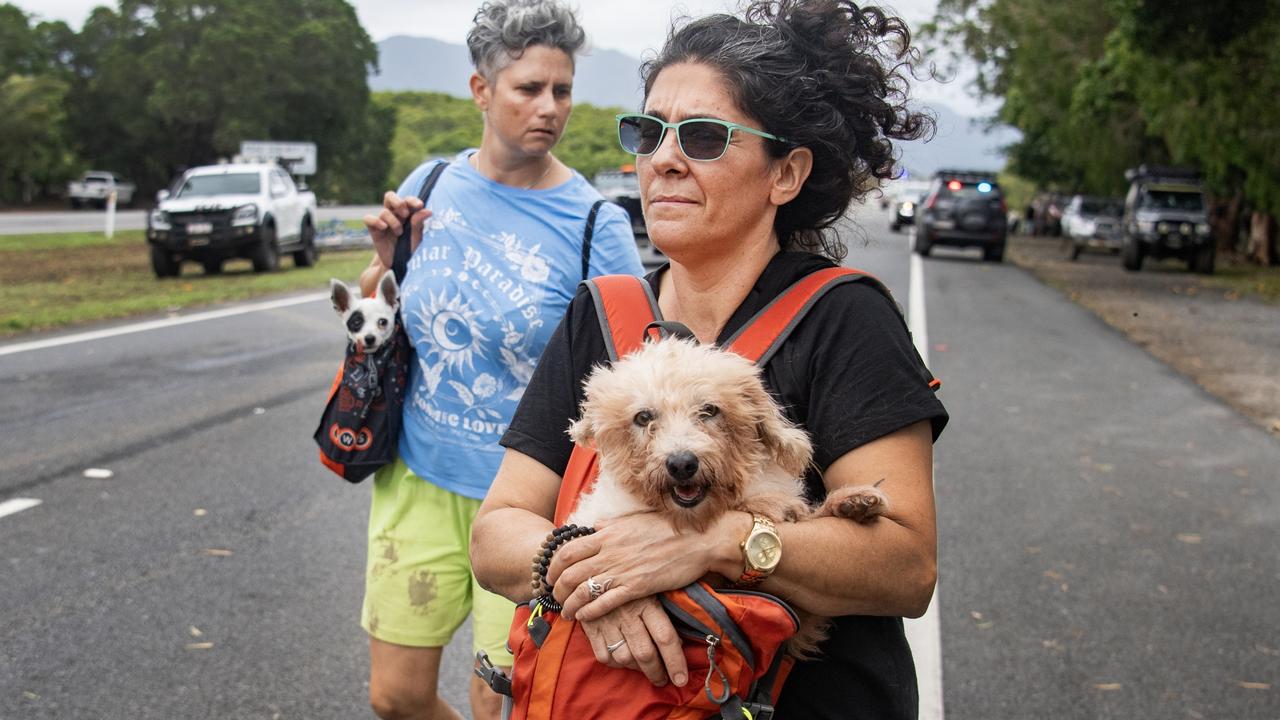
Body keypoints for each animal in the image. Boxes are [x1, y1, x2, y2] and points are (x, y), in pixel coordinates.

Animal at [565, 335, 885, 655]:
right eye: (643, 417)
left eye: (709, 410)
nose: (682, 464)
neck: (693, 516)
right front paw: (776, 504)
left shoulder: (797, 620)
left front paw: (849, 502)